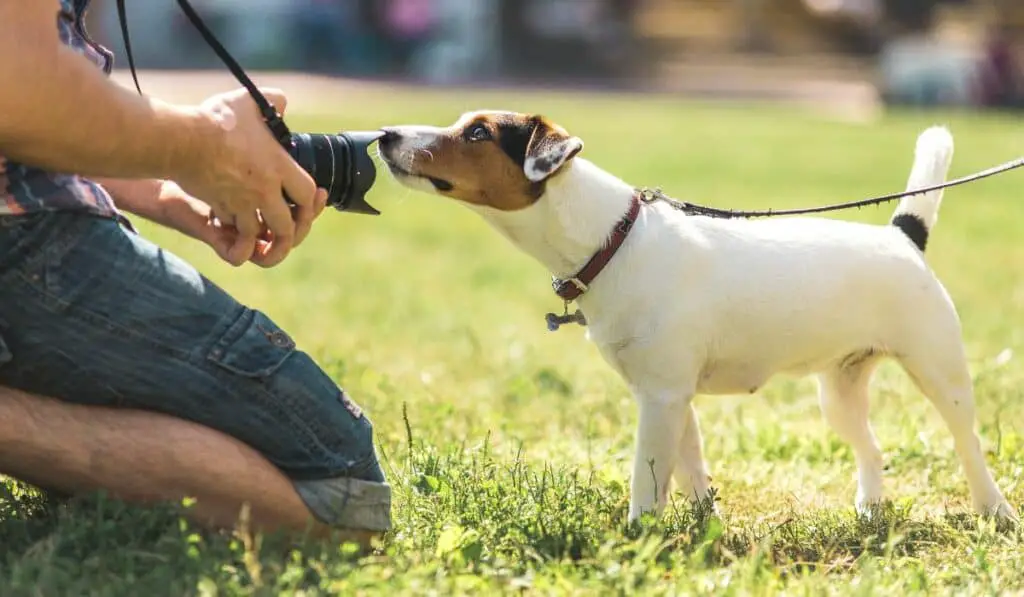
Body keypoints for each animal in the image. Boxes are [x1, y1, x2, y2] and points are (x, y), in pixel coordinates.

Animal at [376, 111, 1015, 524]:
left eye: (478, 132)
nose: (385, 135)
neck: (614, 238)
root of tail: (902, 237)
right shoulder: (669, 395)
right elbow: (688, 471)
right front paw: (703, 529)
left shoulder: (660, 398)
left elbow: (647, 480)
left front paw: (639, 538)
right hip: (839, 390)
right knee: (872, 447)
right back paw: (871, 510)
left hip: (941, 373)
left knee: (968, 445)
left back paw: (995, 510)